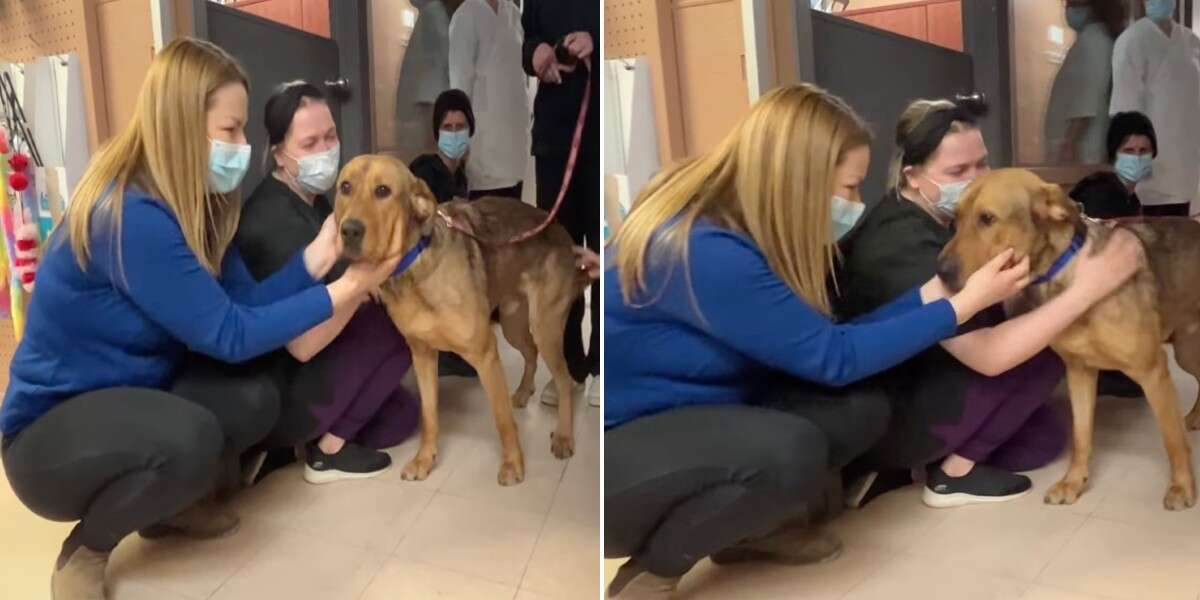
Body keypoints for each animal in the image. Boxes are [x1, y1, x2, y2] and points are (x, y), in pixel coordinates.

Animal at [331, 156, 592, 487]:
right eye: (345, 187)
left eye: (382, 191)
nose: (349, 231)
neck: (414, 268)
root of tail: (562, 234)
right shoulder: (422, 355)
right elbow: (429, 416)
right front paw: (424, 460)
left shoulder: (485, 353)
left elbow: (502, 420)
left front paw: (512, 464)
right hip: (512, 324)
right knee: (531, 353)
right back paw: (523, 392)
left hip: (545, 326)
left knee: (564, 380)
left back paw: (563, 436)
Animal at [936, 168, 1200, 511]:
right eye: (954, 220)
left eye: (987, 218)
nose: (940, 273)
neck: (1069, 275)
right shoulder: (1080, 372)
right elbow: (1081, 436)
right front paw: (1073, 482)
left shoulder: (1153, 370)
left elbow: (1172, 439)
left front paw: (1181, 487)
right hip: (1186, 348)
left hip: (1184, 353)